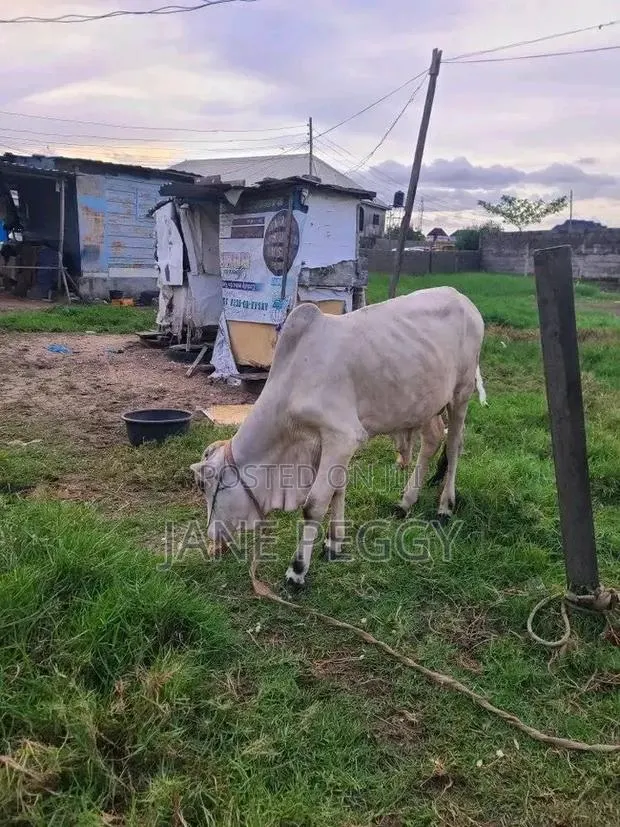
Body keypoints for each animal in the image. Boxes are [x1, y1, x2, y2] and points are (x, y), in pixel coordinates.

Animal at [190, 286, 487, 588]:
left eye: (203, 485)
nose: (212, 539)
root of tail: (461, 298)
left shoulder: (342, 437)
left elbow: (314, 504)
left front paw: (297, 570)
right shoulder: (330, 444)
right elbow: (338, 489)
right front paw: (333, 543)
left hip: (461, 393)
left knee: (454, 444)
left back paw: (445, 506)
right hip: (425, 404)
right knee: (433, 440)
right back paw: (405, 502)